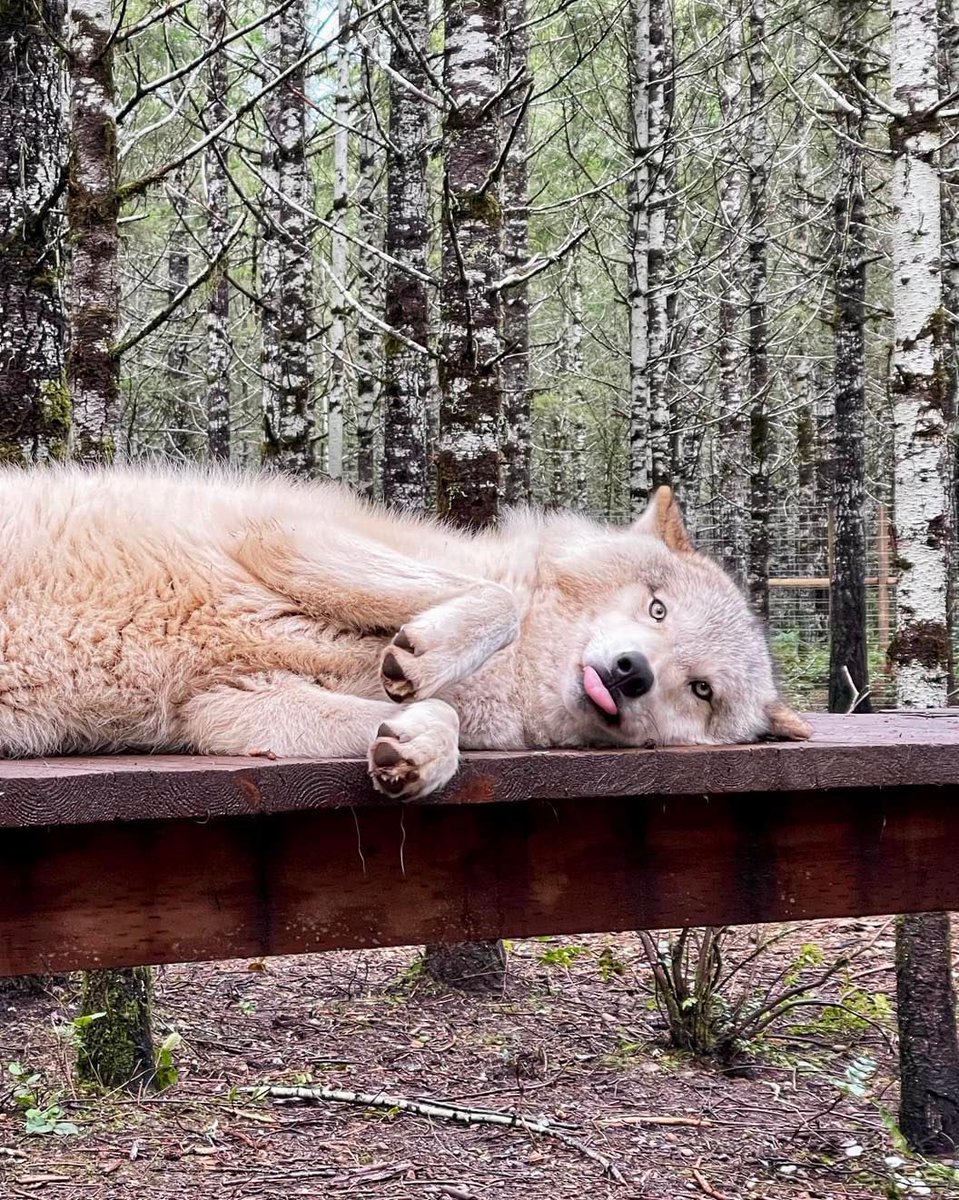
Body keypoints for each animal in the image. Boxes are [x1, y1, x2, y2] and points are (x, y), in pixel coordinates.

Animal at [0, 465, 810, 797]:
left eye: (701, 691)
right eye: (657, 609)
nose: (632, 673)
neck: (515, 677)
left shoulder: (230, 705)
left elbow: (435, 720)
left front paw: (415, 751)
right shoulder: (287, 536)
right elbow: (496, 601)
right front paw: (425, 654)